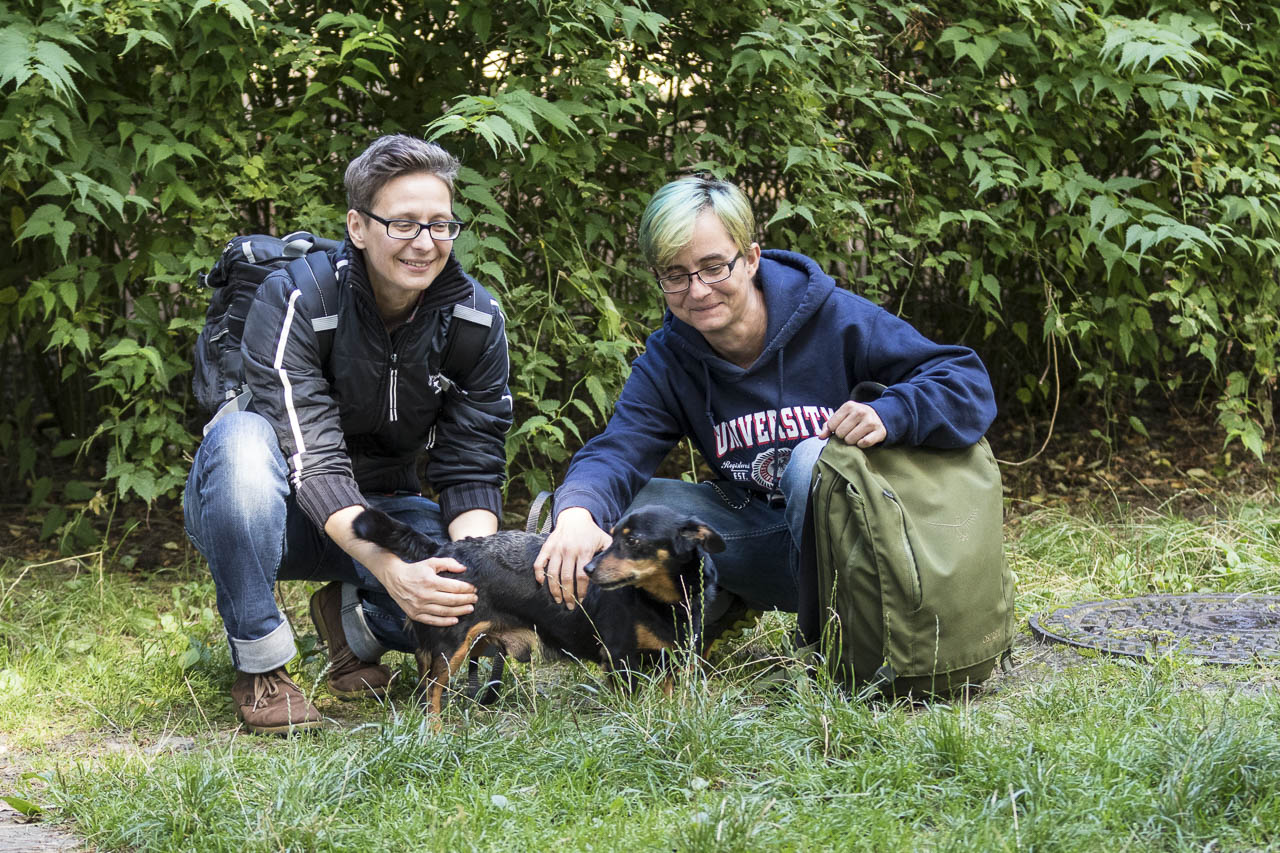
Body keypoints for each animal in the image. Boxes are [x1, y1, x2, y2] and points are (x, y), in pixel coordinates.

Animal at [351, 504, 724, 715]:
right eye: (613, 536)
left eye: (632, 541)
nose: (587, 569)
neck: (661, 601)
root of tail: (444, 550)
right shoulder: (621, 659)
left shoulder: (673, 659)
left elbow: (668, 700)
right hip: (451, 645)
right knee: (433, 693)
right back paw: (435, 735)